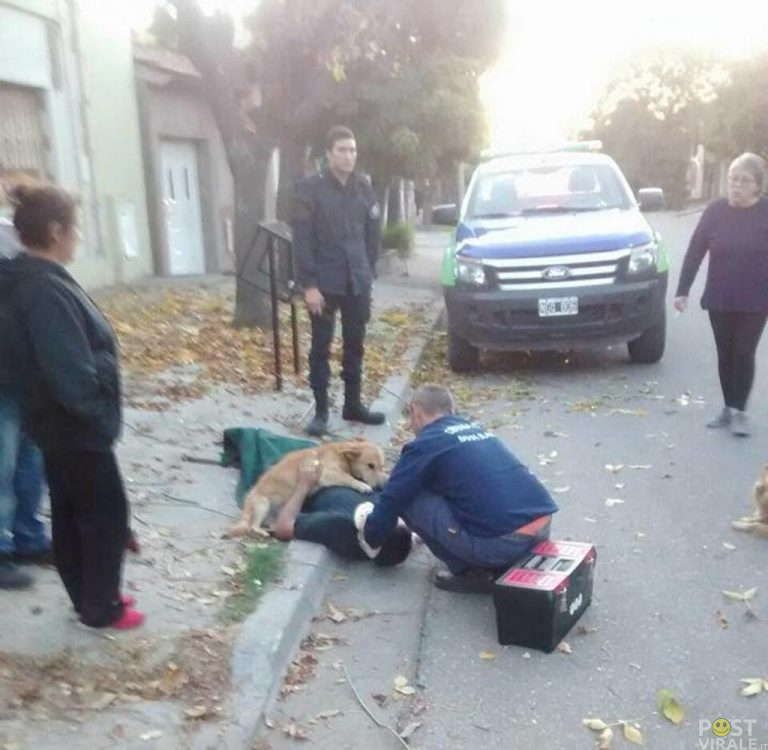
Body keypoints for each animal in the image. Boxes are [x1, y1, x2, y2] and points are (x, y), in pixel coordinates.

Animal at [225, 440, 388, 540]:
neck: (342, 456)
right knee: (253, 526)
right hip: (263, 504)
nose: (380, 487)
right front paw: (363, 486)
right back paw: (262, 532)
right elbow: (348, 478)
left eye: (381, 466)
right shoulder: (328, 474)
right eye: (370, 465)